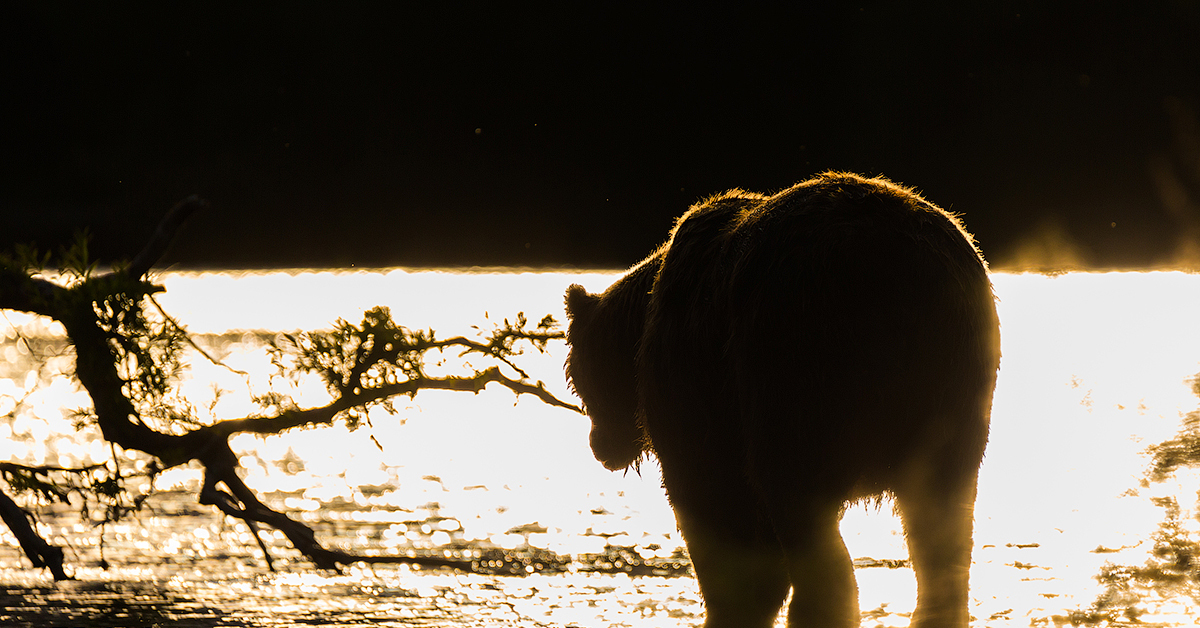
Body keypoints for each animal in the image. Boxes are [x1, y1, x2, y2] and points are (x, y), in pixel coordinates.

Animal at [566, 171, 998, 628]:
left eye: (579, 383)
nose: (598, 447)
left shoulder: (699, 394)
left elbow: (712, 506)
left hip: (795, 361)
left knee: (798, 505)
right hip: (953, 387)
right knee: (943, 523)